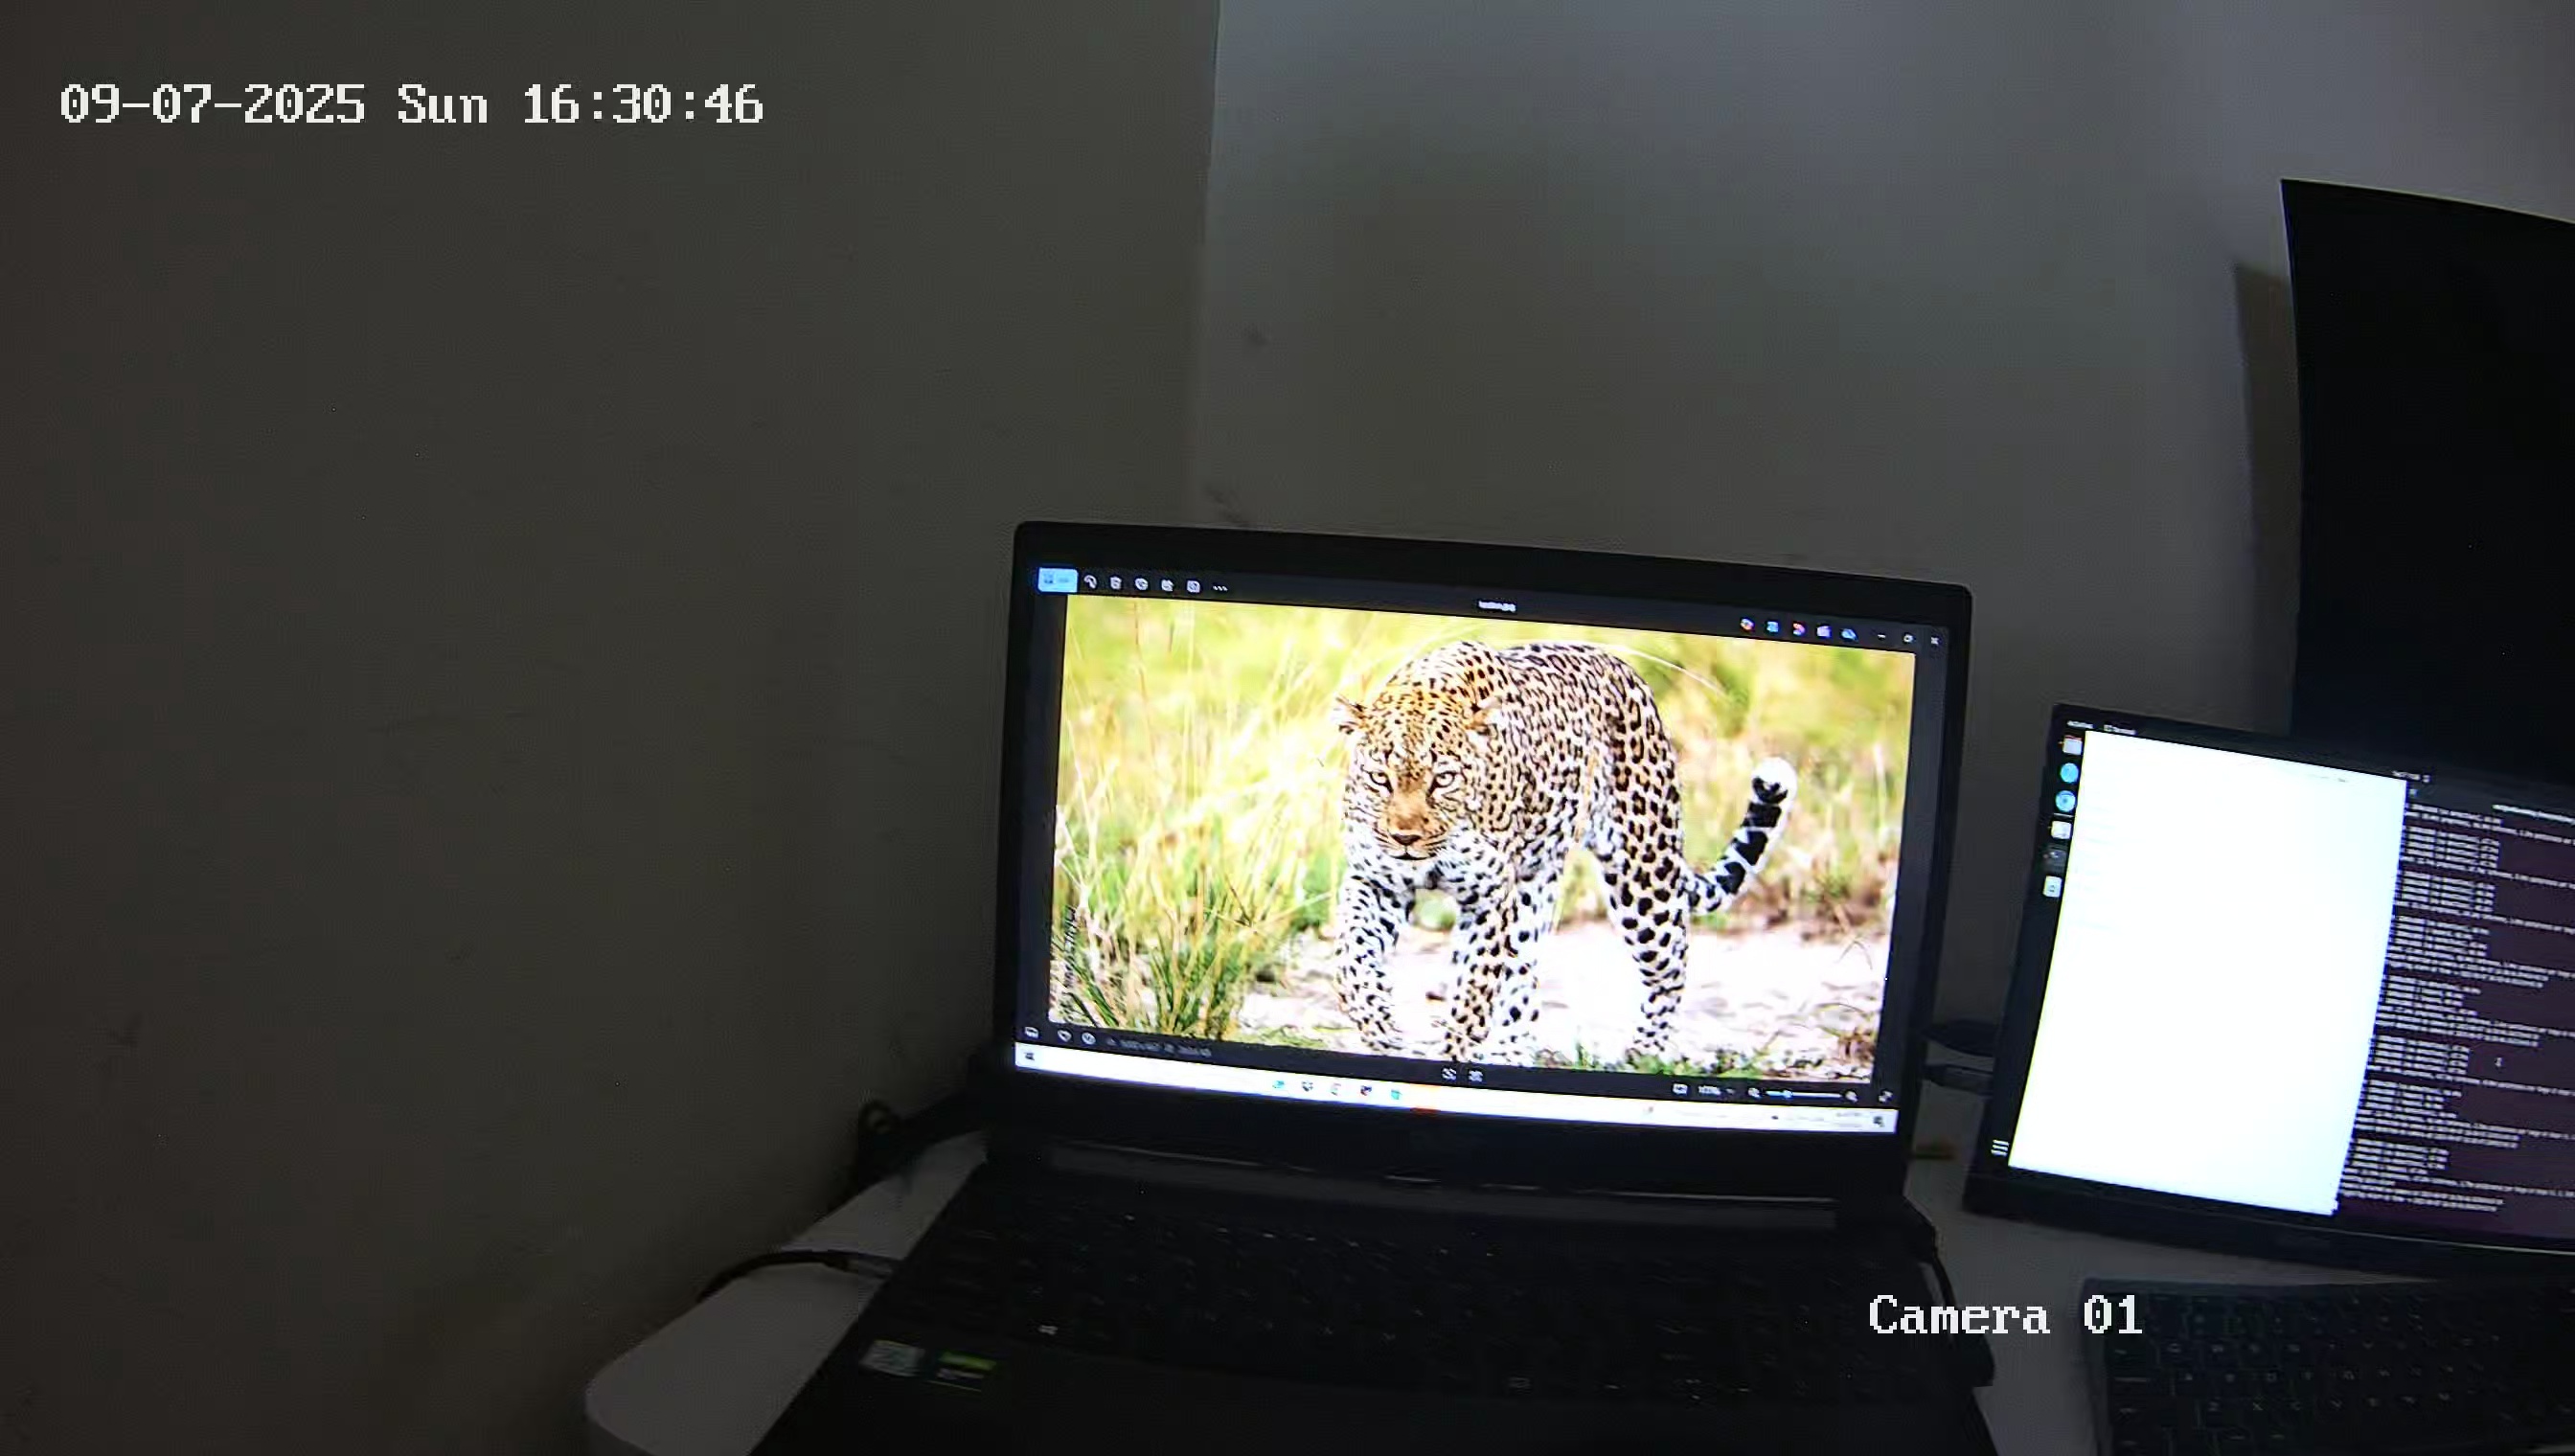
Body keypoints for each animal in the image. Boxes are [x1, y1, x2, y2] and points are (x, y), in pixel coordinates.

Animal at [1329, 640, 1796, 1067]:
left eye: (1443, 780)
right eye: (1380, 778)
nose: (1404, 837)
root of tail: (1626, 671)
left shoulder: (1489, 898)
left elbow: (1474, 992)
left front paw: (1453, 1052)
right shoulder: (1377, 883)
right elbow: (1352, 955)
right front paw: (1380, 1027)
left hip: (1643, 877)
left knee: (1672, 964)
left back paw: (1644, 1053)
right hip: (1536, 888)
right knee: (1523, 977)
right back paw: (1512, 1051)